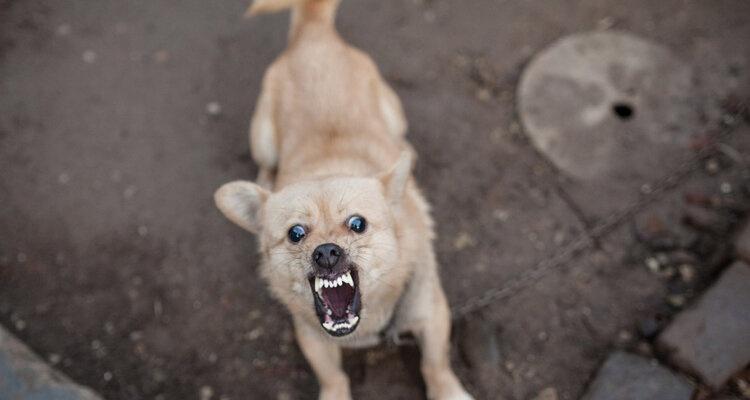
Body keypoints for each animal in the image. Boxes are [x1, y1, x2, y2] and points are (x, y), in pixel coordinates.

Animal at [216, 1, 476, 398]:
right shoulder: (311, 336)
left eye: (357, 224)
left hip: (393, 114)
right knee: (264, 163)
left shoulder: (432, 312)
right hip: (262, 138)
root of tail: (314, 33)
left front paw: (448, 391)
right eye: (295, 233)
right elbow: (333, 377)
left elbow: (435, 364)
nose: (326, 252)